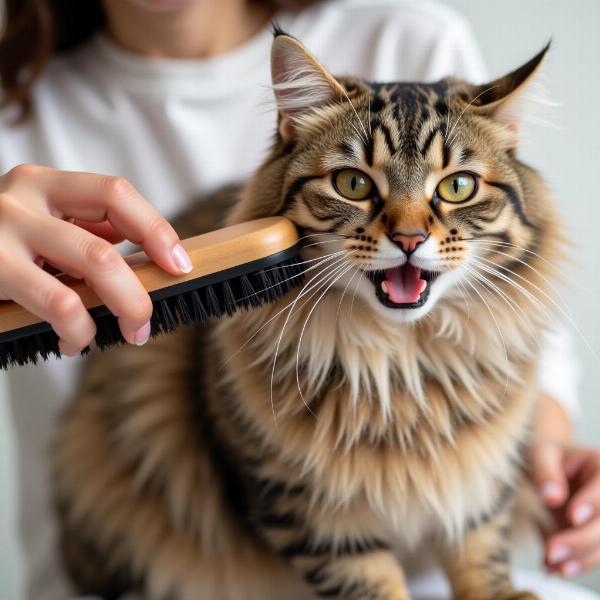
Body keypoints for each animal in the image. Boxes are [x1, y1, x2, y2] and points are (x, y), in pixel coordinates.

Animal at [52, 31, 564, 600]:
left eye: (457, 188)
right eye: (353, 184)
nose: (410, 239)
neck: (402, 365)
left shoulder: (480, 481)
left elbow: (481, 551)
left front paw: (505, 593)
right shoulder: (316, 519)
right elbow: (374, 585)